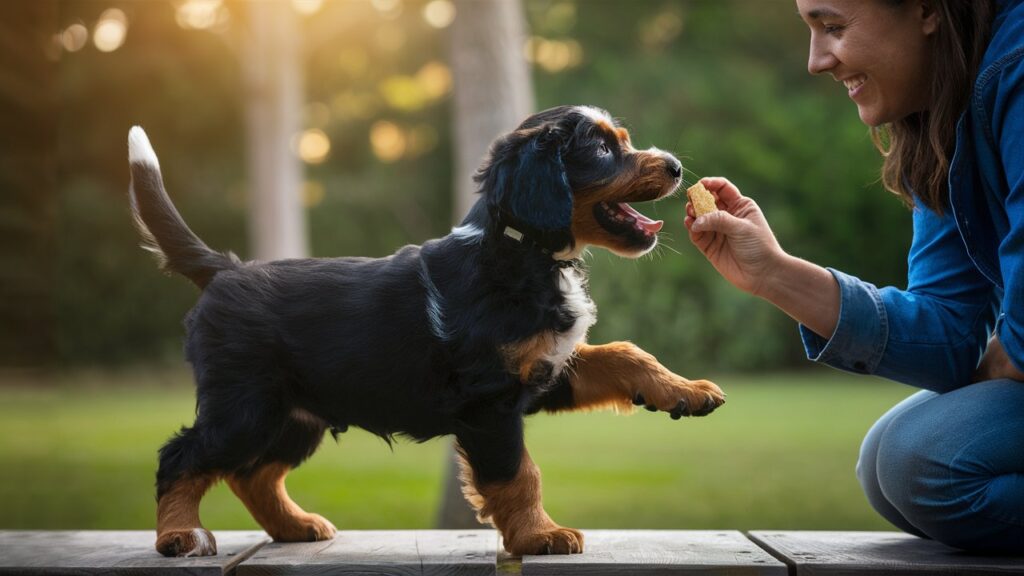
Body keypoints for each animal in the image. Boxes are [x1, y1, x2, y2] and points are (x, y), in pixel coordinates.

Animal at [125, 104, 720, 557]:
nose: (675, 167)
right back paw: (181, 535)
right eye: (599, 150)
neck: (522, 253)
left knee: (253, 475)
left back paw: (296, 526)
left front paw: (686, 391)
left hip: (295, 415)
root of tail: (225, 269)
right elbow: (517, 473)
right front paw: (540, 536)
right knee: (182, 457)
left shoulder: (544, 370)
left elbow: (624, 353)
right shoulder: (490, 400)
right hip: (243, 408)